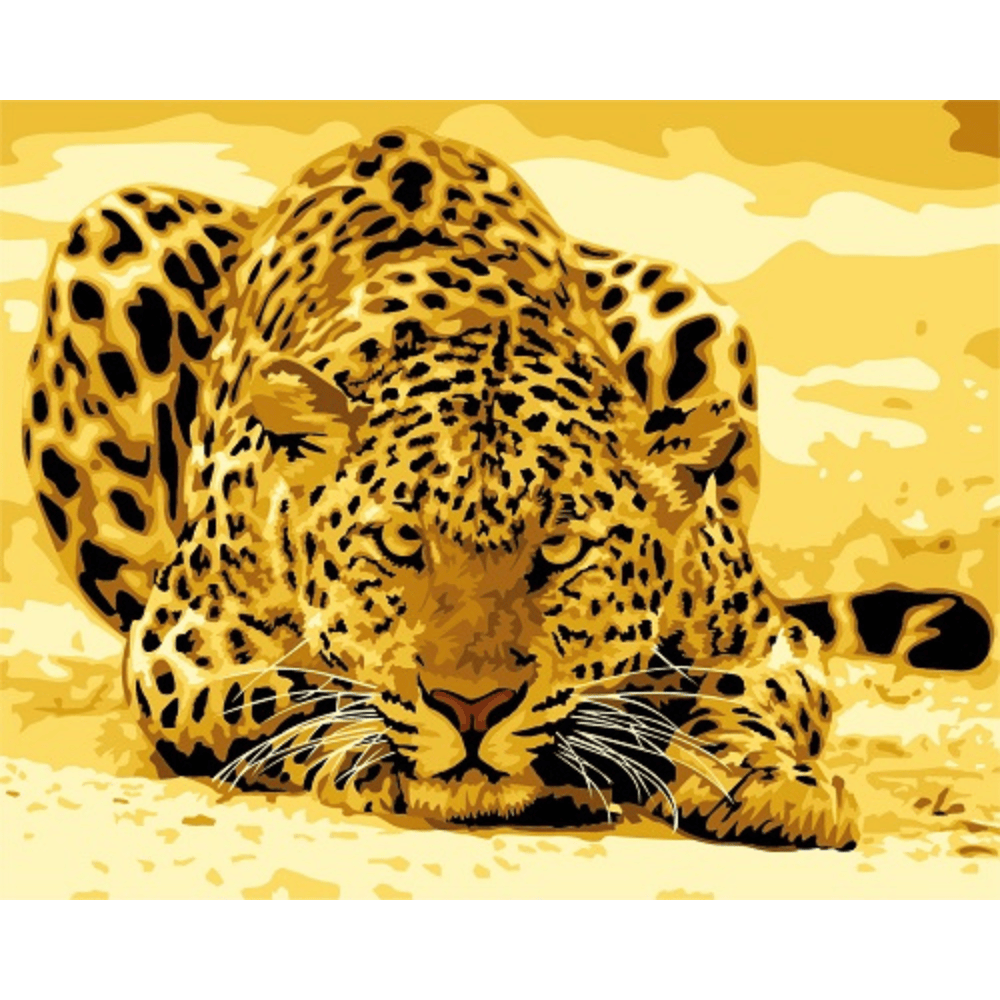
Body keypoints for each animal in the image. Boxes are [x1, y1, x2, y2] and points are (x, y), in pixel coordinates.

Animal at [23, 127, 992, 850]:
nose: (472, 706)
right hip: (114, 234)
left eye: (560, 550)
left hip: (694, 307)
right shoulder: (180, 648)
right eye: (400, 542)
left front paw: (770, 781)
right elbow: (290, 694)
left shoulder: (768, 640)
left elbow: (741, 696)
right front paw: (387, 753)